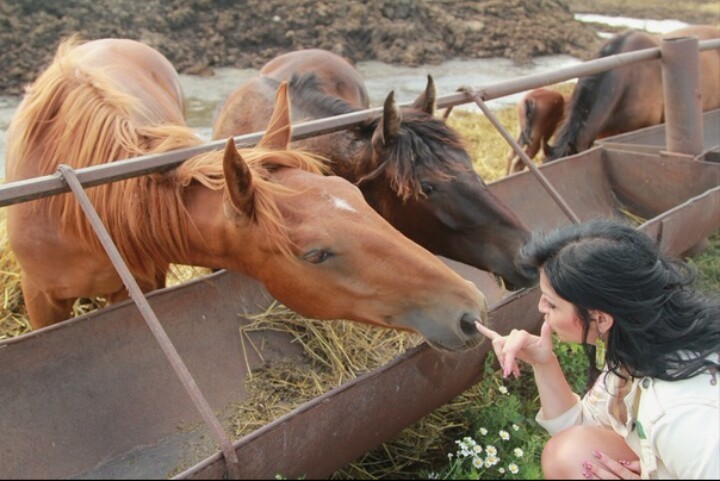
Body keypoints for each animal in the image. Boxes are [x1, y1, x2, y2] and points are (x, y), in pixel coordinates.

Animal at [5, 37, 490, 350]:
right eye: (316, 255)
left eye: (356, 197)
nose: (469, 308)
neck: (79, 211)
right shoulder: (42, 300)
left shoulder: (142, 282)